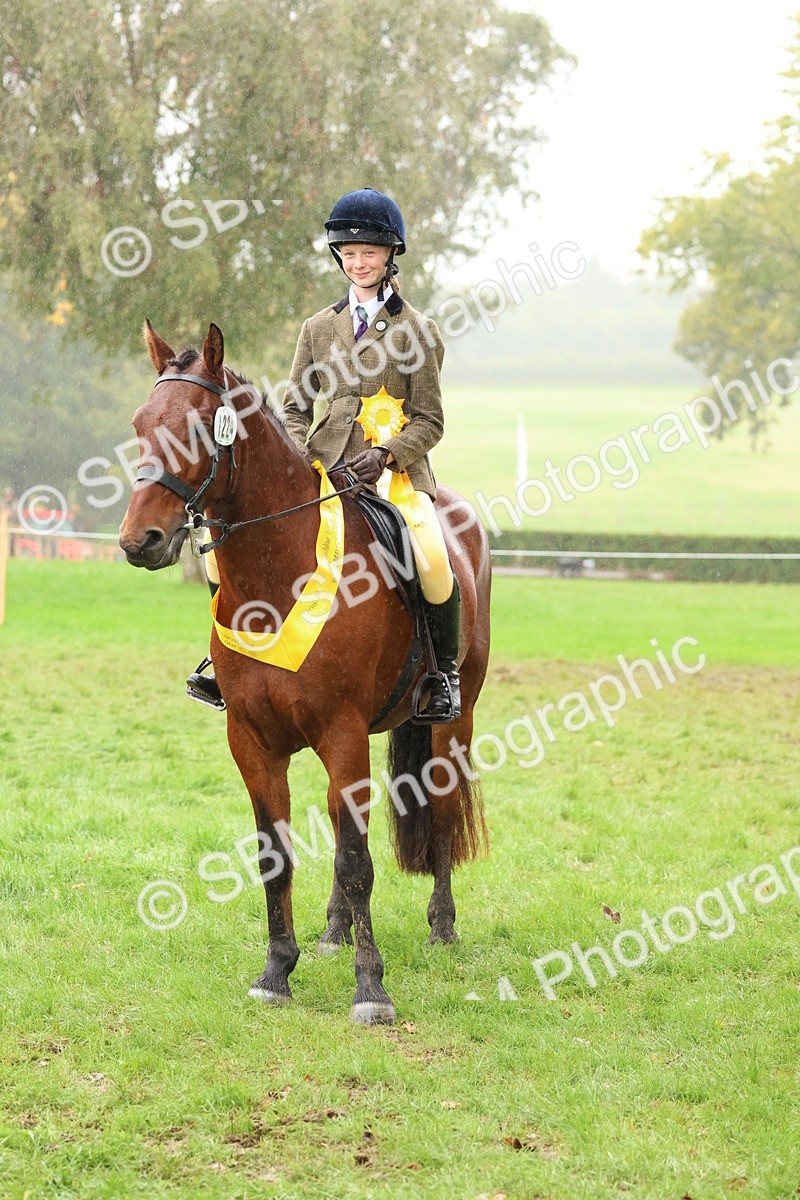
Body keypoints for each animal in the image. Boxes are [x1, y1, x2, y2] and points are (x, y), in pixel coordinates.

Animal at [119, 321, 491, 1023]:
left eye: (201, 427)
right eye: (139, 424)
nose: (140, 541)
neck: (277, 574)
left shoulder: (341, 733)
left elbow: (357, 860)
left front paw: (371, 989)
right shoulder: (252, 740)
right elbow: (278, 855)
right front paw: (277, 970)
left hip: (451, 723)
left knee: (440, 809)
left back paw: (442, 925)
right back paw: (333, 932)